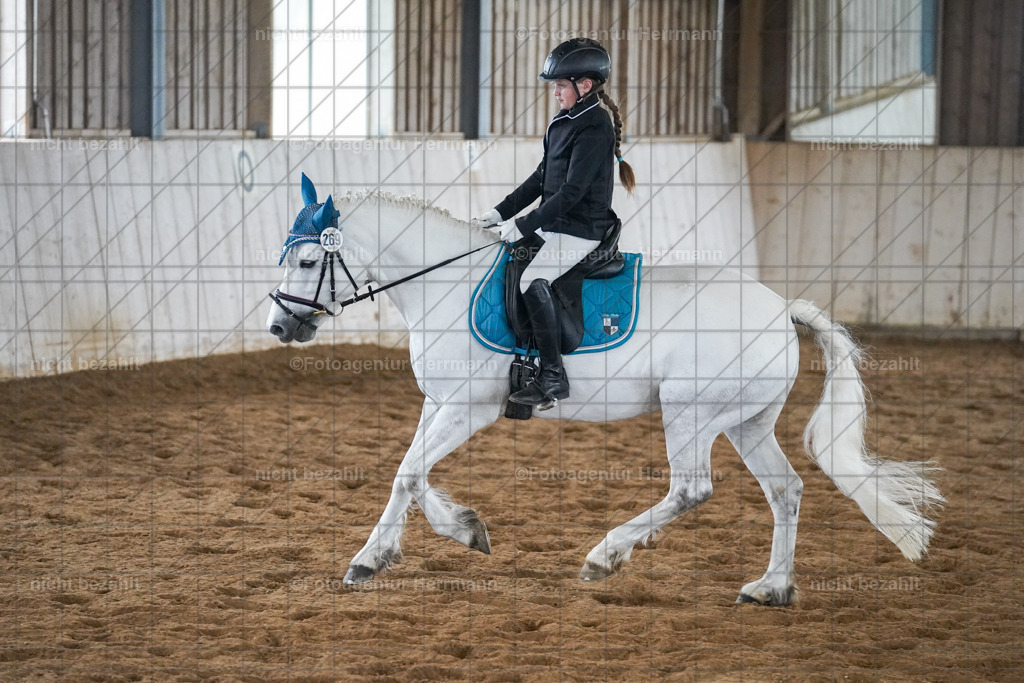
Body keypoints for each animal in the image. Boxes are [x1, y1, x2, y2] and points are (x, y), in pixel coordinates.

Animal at [266, 177, 943, 606]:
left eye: (308, 263)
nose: (279, 327)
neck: (445, 284)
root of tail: (781, 311)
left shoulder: (469, 408)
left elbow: (408, 472)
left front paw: (384, 554)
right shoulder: (440, 403)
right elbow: (409, 471)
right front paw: (449, 532)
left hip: (692, 411)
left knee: (692, 488)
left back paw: (604, 555)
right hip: (744, 421)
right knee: (786, 490)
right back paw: (770, 588)